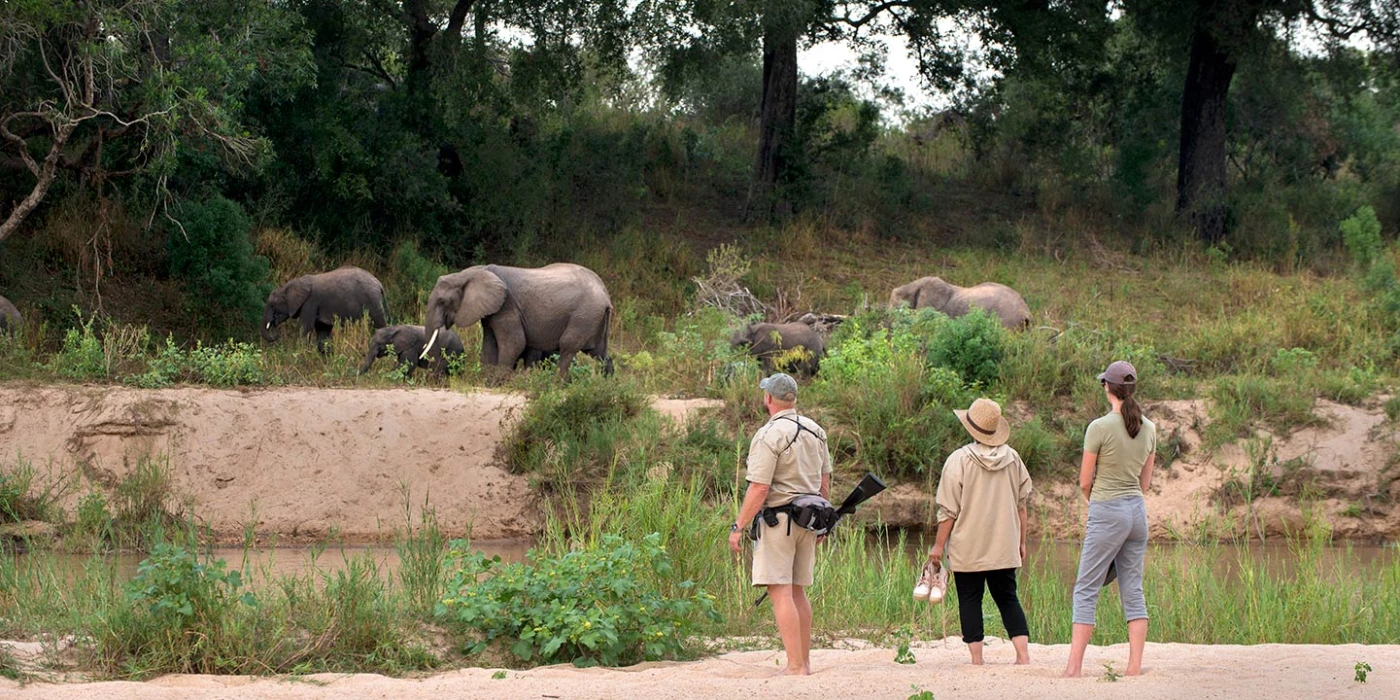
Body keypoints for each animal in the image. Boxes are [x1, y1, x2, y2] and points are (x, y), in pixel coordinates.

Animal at [417, 261, 610, 378]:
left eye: (442, 301)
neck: (471, 273)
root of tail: (606, 295)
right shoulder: (491, 311)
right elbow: (489, 345)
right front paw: (486, 380)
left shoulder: (507, 306)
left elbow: (514, 343)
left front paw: (497, 382)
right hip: (593, 317)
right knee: (599, 353)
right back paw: (605, 383)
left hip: (584, 315)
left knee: (567, 346)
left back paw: (557, 384)